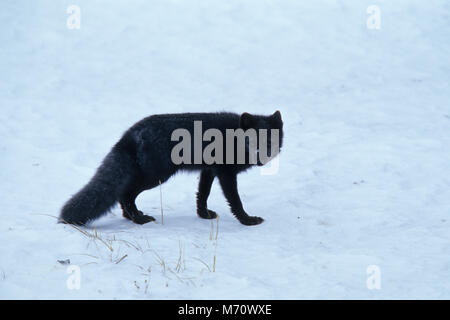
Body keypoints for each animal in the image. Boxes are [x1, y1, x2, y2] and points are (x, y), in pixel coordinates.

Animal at [60, 111, 284, 226]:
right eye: (252, 141)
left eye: (270, 141)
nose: (262, 157)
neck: (233, 138)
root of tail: (129, 134)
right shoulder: (226, 173)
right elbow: (235, 201)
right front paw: (247, 220)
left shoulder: (208, 170)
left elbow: (202, 194)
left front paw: (203, 215)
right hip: (156, 177)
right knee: (126, 194)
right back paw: (138, 219)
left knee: (124, 195)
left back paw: (132, 216)